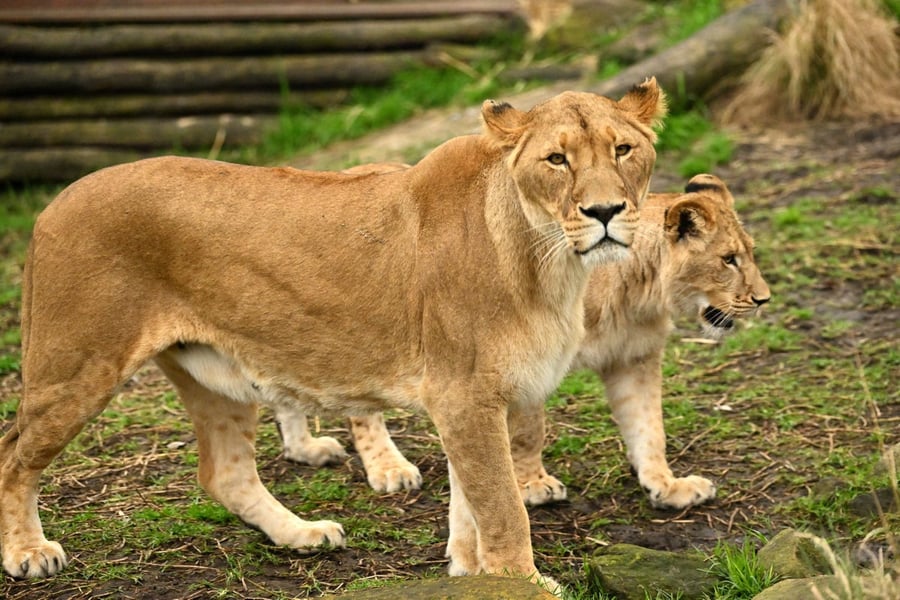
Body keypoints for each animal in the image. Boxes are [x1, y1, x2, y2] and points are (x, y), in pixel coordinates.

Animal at [0, 78, 660, 584]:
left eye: (623, 149)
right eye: (557, 159)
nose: (605, 212)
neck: (549, 259)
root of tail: (54, 201)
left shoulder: (467, 399)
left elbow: (468, 510)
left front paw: (469, 573)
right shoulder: (465, 393)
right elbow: (501, 510)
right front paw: (521, 581)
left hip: (213, 375)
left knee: (225, 473)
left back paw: (302, 534)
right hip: (75, 367)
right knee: (13, 454)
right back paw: (27, 553)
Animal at [272, 173, 768, 510]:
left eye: (750, 254)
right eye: (728, 259)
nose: (764, 299)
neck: (639, 291)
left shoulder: (634, 357)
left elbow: (650, 429)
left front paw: (666, 486)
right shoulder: (520, 357)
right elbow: (529, 430)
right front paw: (531, 486)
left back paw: (305, 450)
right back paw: (389, 468)